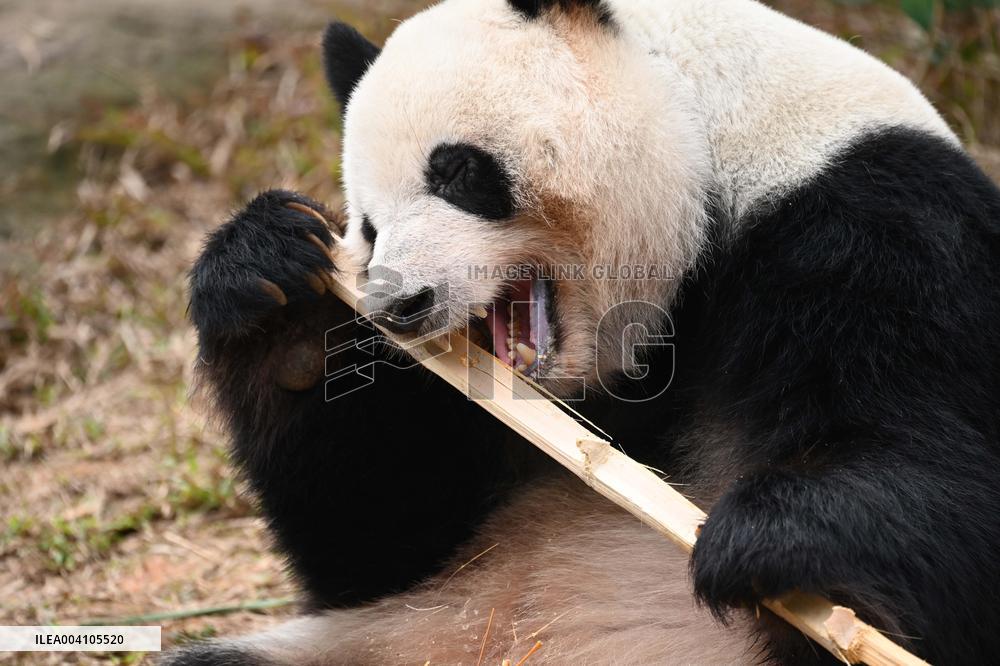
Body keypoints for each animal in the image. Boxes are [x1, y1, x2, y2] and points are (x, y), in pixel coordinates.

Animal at [171, 0, 1000, 663]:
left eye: (456, 172)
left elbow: (946, 482)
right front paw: (274, 288)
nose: (401, 303)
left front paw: (768, 542)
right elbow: (377, 538)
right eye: (369, 226)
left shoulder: (871, 220)